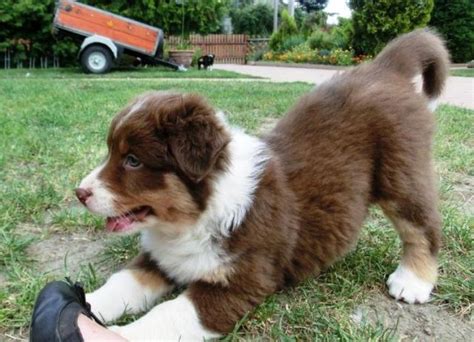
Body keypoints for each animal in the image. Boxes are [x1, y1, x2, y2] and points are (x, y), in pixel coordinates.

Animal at [77, 30, 448, 340]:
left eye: (133, 160)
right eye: (112, 152)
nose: (79, 193)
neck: (191, 220)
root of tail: (384, 68)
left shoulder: (239, 283)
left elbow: (167, 315)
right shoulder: (160, 258)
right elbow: (121, 283)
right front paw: (87, 304)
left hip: (401, 174)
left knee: (421, 227)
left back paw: (412, 281)